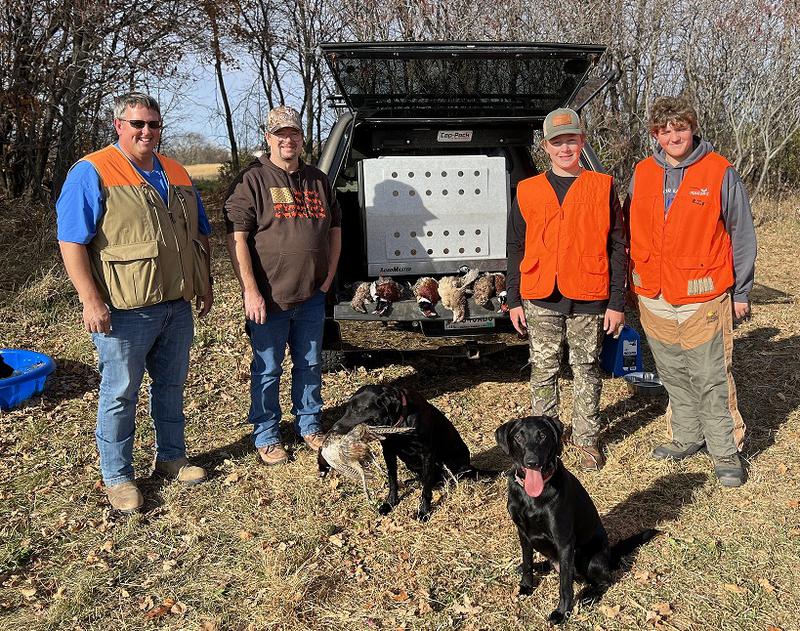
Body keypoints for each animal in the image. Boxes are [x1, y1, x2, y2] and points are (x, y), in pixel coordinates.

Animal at [318, 382, 478, 520]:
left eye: (358, 409)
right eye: (346, 409)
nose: (334, 429)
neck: (401, 421)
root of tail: (470, 466)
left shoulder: (427, 454)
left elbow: (426, 488)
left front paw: (424, 511)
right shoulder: (388, 452)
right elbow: (392, 479)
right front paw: (390, 503)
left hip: (449, 463)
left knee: (441, 477)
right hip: (411, 463)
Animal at [496, 418, 660, 624]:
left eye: (542, 435)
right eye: (518, 437)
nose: (532, 462)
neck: (531, 496)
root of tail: (609, 554)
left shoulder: (564, 541)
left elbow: (565, 585)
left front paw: (562, 612)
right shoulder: (523, 533)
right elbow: (527, 563)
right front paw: (526, 586)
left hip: (588, 558)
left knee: (604, 580)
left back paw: (590, 595)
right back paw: (540, 566)